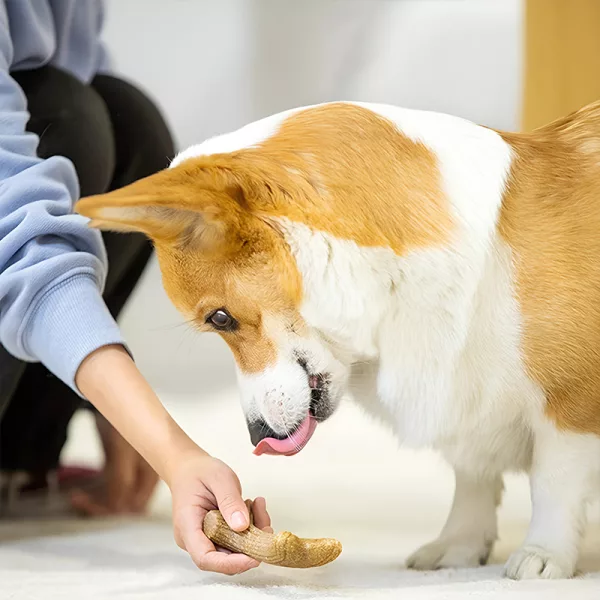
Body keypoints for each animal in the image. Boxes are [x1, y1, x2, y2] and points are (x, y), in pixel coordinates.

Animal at [76, 101, 600, 580]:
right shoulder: (458, 393)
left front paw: (543, 556)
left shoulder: (570, 407)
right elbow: (472, 477)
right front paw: (458, 547)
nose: (256, 437)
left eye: (220, 318)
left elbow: (552, 482)